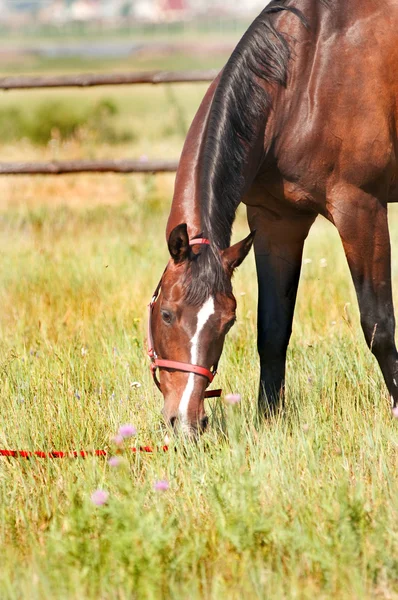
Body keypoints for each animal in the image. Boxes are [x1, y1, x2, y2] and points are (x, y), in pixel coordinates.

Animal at [148, 0, 398, 434]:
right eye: (166, 314)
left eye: (226, 322)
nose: (186, 423)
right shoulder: (276, 222)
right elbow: (273, 329)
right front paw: (268, 420)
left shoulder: (361, 208)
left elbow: (378, 324)